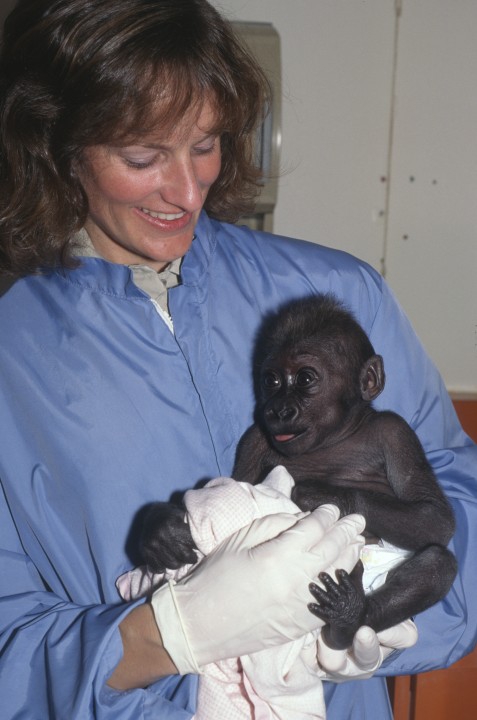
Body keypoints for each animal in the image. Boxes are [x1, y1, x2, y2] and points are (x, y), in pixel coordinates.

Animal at [141, 292, 458, 652]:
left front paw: (324, 496)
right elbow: (239, 482)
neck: (336, 434)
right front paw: (160, 526)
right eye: (272, 381)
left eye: (306, 379)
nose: (279, 411)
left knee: (438, 563)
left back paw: (350, 615)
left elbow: (434, 517)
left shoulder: (397, 433)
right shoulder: (254, 439)